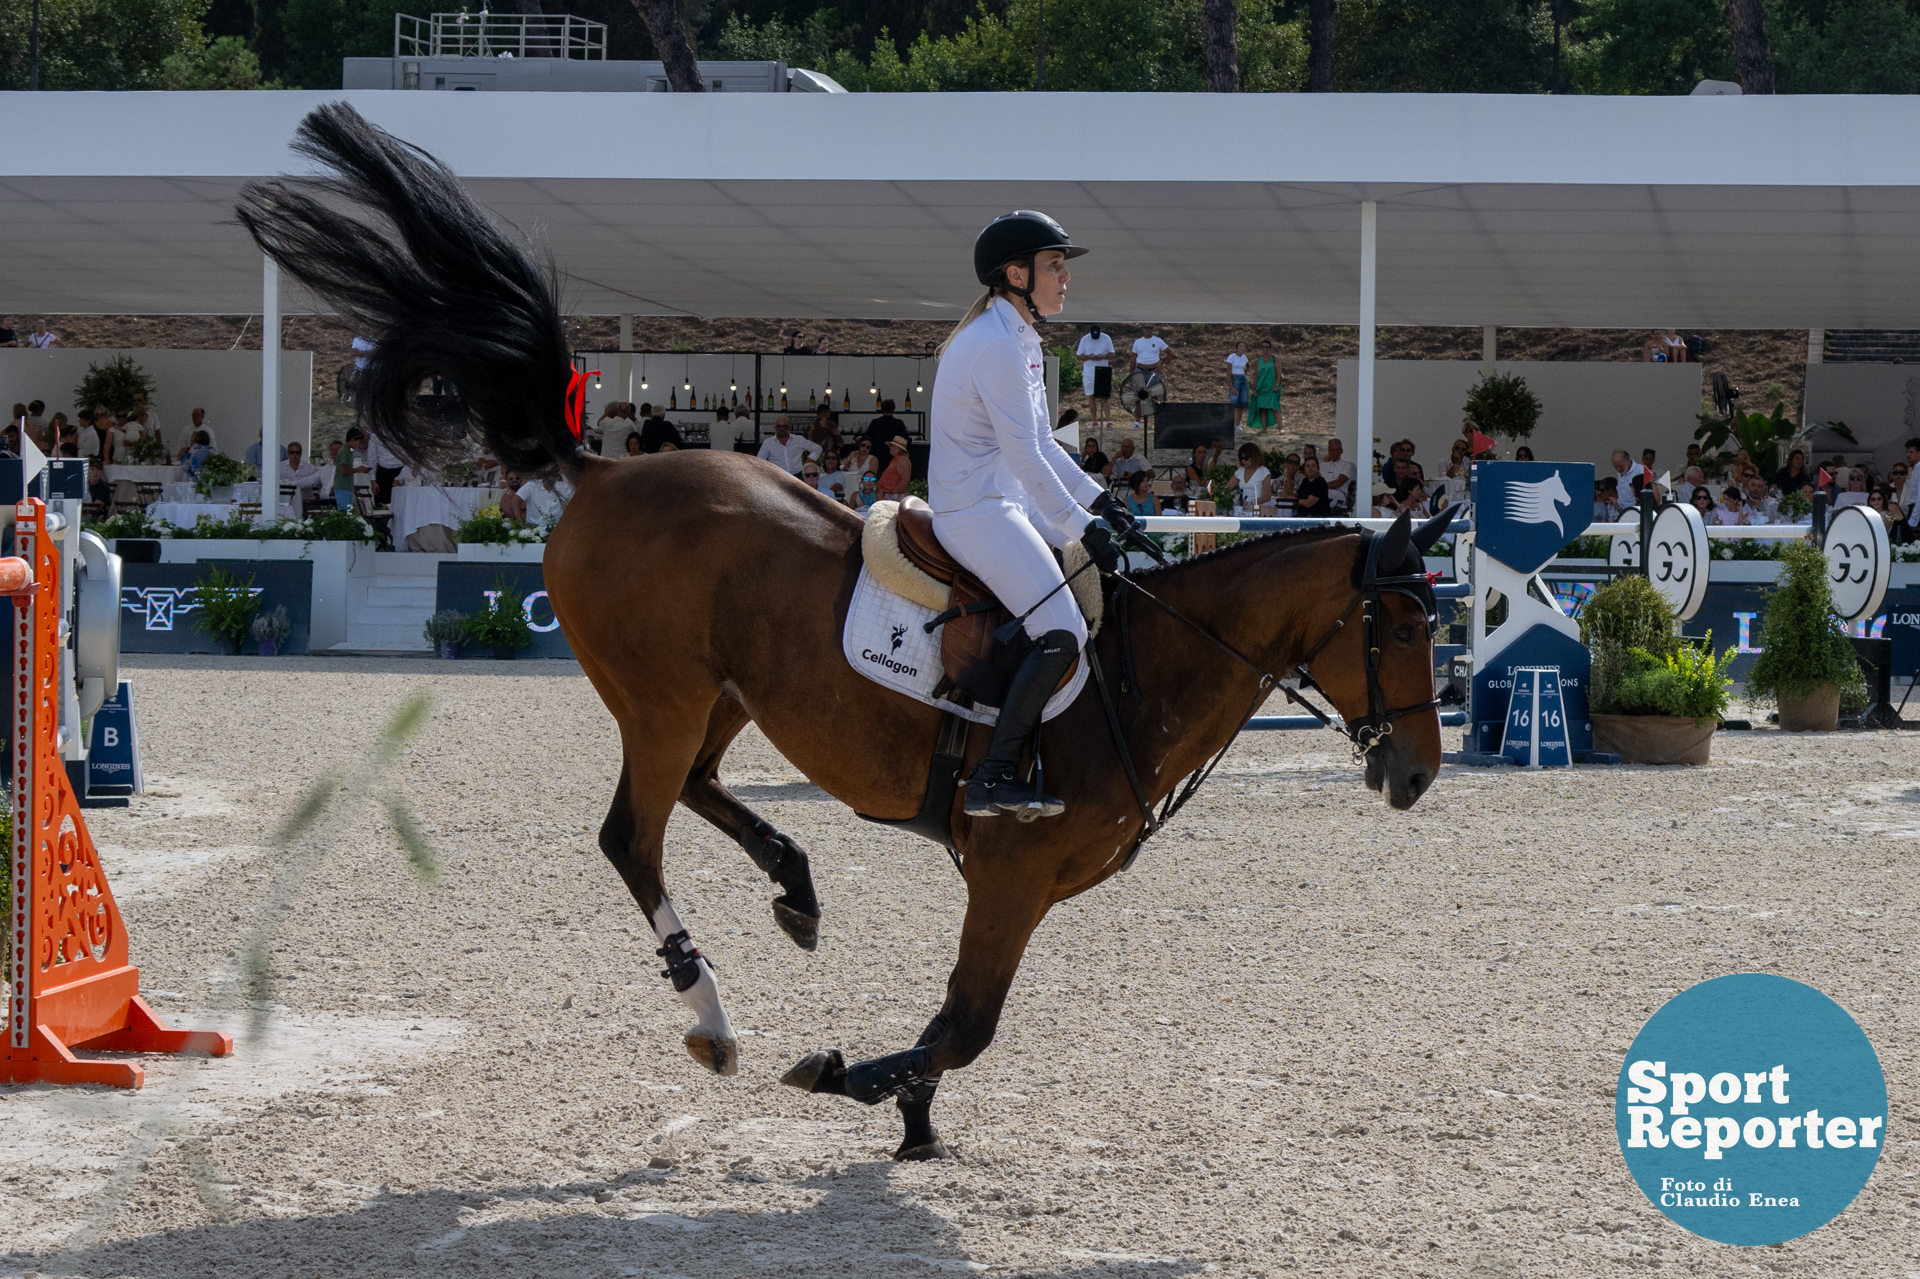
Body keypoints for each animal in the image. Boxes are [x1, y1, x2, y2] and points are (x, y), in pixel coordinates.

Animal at [232, 104, 1443, 1159]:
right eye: (1393, 626)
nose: (1423, 775)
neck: (1146, 672)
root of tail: (603, 468)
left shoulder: (1027, 888)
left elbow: (963, 1023)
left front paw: (909, 1115)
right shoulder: (1011, 871)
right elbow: (967, 1022)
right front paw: (855, 1081)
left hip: (726, 695)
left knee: (702, 791)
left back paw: (796, 888)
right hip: (662, 696)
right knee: (634, 835)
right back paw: (714, 1018)